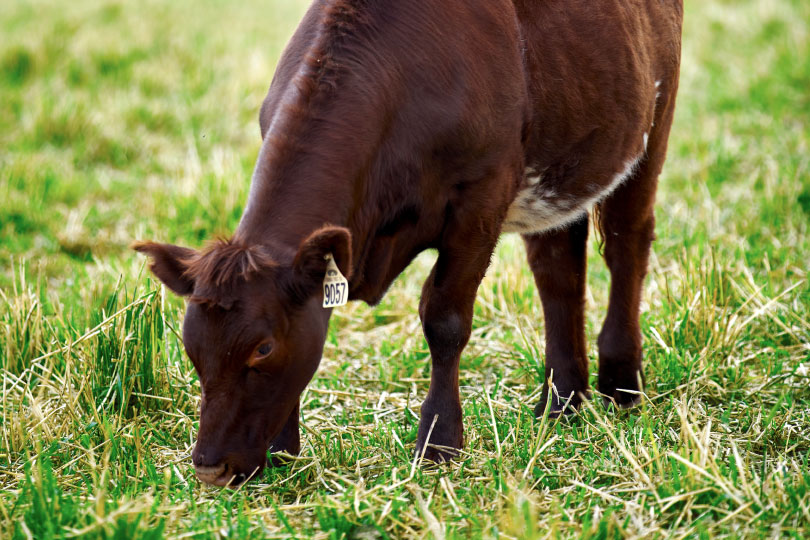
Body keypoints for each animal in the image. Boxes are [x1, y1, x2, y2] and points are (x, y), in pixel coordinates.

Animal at [133, 0, 680, 488]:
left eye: (263, 347)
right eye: (191, 346)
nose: (210, 468)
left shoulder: (482, 198)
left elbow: (444, 320)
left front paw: (439, 443)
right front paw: (283, 450)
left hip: (653, 124)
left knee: (627, 244)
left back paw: (621, 383)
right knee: (558, 269)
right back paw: (561, 402)